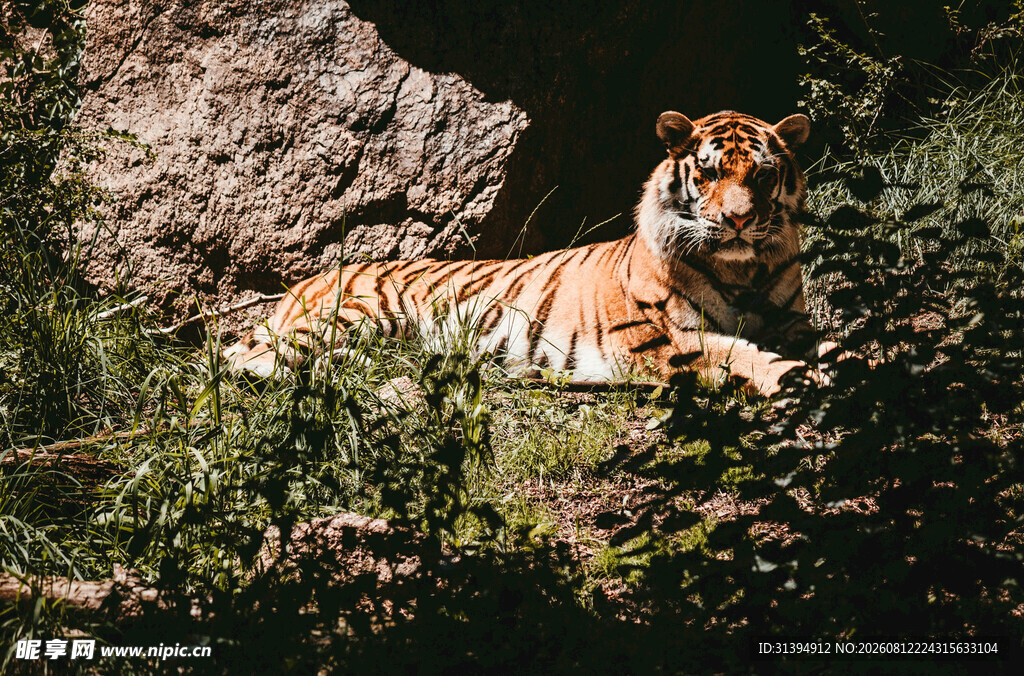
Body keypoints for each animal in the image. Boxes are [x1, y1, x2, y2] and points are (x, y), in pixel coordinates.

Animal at [224, 110, 818, 396]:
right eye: (711, 173)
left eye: (762, 176)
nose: (737, 221)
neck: (744, 270)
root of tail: (304, 282)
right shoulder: (667, 339)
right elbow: (744, 355)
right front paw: (797, 379)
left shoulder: (792, 321)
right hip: (359, 314)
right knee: (244, 361)